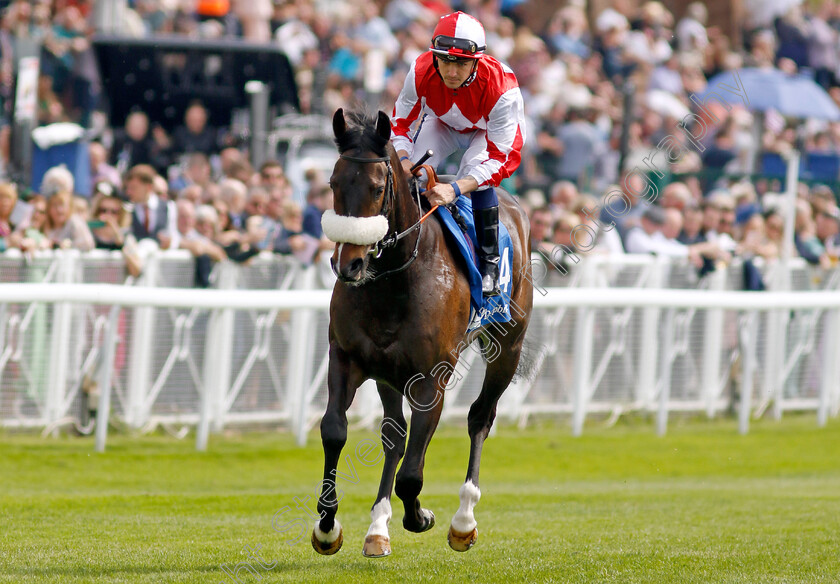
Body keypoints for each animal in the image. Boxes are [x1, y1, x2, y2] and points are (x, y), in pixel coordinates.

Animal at [312, 108, 536, 556]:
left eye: (378, 187)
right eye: (332, 183)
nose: (349, 265)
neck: (394, 279)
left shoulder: (432, 378)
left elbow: (412, 474)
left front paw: (420, 517)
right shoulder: (347, 358)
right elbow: (334, 430)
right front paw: (327, 526)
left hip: (508, 347)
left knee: (480, 417)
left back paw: (464, 520)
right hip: (389, 375)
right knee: (394, 436)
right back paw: (377, 528)